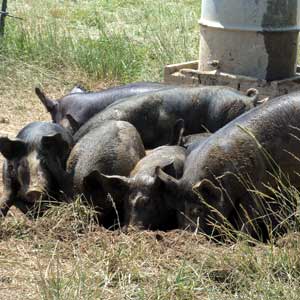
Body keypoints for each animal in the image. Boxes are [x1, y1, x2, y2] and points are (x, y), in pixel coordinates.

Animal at [156, 92, 300, 240]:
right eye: (177, 209)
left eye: (199, 209)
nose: (185, 234)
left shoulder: (253, 187)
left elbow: (247, 217)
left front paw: (240, 240)